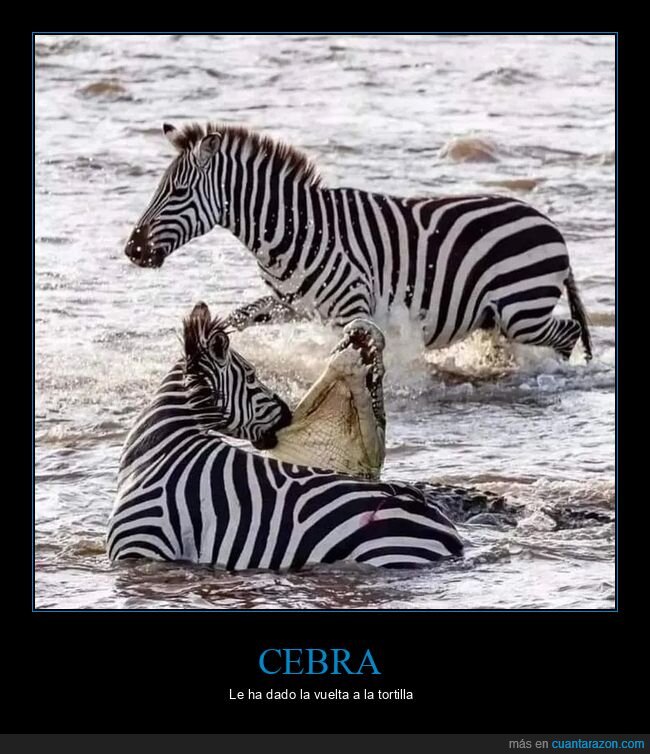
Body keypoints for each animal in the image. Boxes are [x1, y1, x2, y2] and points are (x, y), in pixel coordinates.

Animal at [124, 121, 592, 362]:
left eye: (177, 192)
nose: (133, 249)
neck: (292, 228)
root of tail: (552, 228)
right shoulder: (290, 304)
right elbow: (235, 319)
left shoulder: (353, 307)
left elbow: (348, 352)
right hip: (498, 316)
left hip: (521, 308)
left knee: (567, 333)